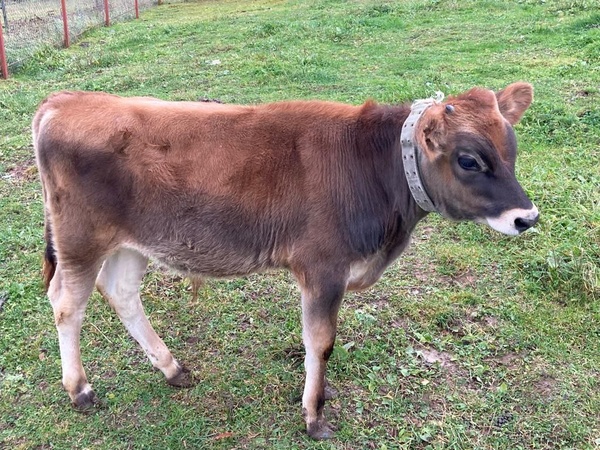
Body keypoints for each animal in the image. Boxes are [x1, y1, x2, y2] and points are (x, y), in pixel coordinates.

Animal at [32, 82, 540, 438]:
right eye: (469, 160)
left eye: (512, 149)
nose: (527, 217)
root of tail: (63, 100)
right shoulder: (323, 268)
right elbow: (322, 342)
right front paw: (314, 415)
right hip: (81, 238)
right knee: (67, 304)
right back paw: (80, 390)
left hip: (134, 242)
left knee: (120, 292)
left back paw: (172, 368)